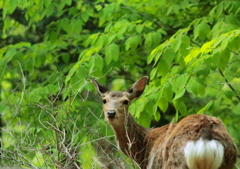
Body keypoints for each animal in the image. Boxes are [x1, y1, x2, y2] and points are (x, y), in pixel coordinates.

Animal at [91, 76, 237, 169]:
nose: (111, 113)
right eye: (104, 100)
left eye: (126, 101)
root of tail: (205, 129)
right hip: (228, 162)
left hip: (175, 162)